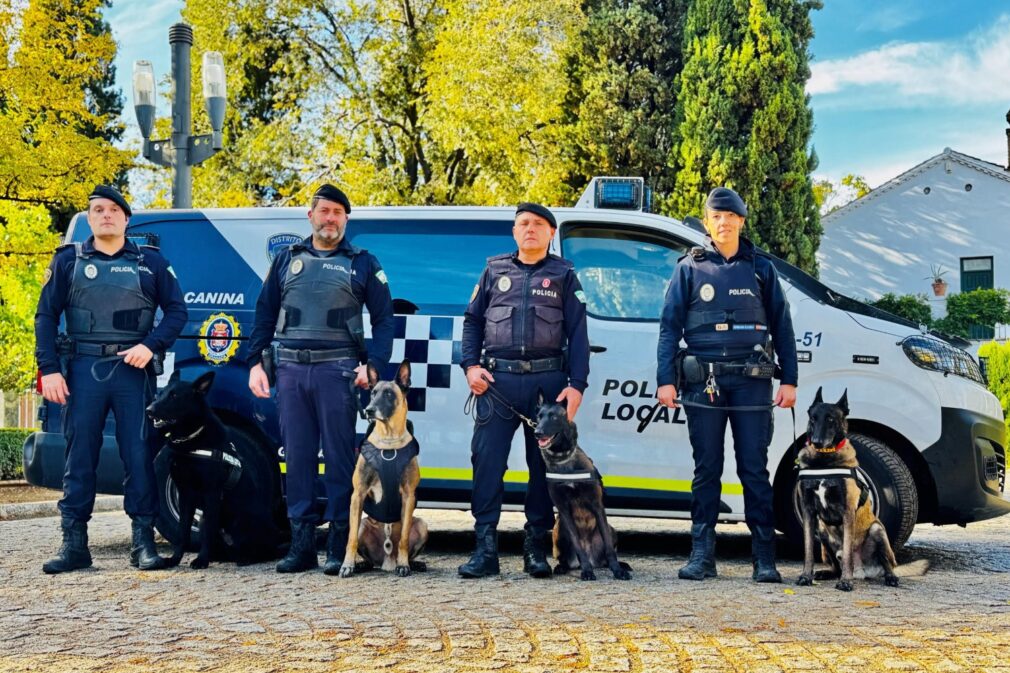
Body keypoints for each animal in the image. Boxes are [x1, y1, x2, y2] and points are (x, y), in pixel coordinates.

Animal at [144, 369, 282, 569]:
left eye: (174, 396)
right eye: (160, 394)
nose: (149, 410)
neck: (192, 440)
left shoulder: (212, 494)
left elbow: (208, 531)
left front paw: (202, 560)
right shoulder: (185, 495)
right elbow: (182, 532)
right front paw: (176, 558)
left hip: (242, 521)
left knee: (260, 550)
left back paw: (244, 558)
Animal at [339, 359, 426, 573]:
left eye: (388, 394)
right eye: (373, 392)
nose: (369, 410)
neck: (389, 441)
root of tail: (386, 561)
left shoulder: (409, 495)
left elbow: (403, 538)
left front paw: (404, 565)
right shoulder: (358, 494)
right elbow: (350, 538)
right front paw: (347, 565)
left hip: (421, 524)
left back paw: (412, 563)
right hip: (363, 525)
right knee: (364, 550)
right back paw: (361, 564)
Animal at [529, 390, 630, 578]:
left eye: (554, 417)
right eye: (539, 417)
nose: (537, 432)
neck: (563, 460)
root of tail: (594, 558)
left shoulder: (597, 505)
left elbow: (608, 547)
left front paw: (617, 570)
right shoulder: (563, 510)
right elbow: (577, 543)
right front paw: (587, 571)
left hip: (612, 530)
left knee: (608, 548)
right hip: (558, 530)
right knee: (566, 558)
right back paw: (565, 567)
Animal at [795, 386, 929, 590]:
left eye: (831, 419)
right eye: (813, 418)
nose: (816, 441)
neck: (824, 460)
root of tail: (863, 572)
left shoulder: (847, 511)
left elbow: (848, 552)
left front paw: (845, 582)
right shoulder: (809, 513)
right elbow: (808, 550)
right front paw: (805, 576)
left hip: (877, 530)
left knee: (887, 564)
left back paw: (889, 578)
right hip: (822, 531)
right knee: (835, 567)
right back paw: (825, 573)